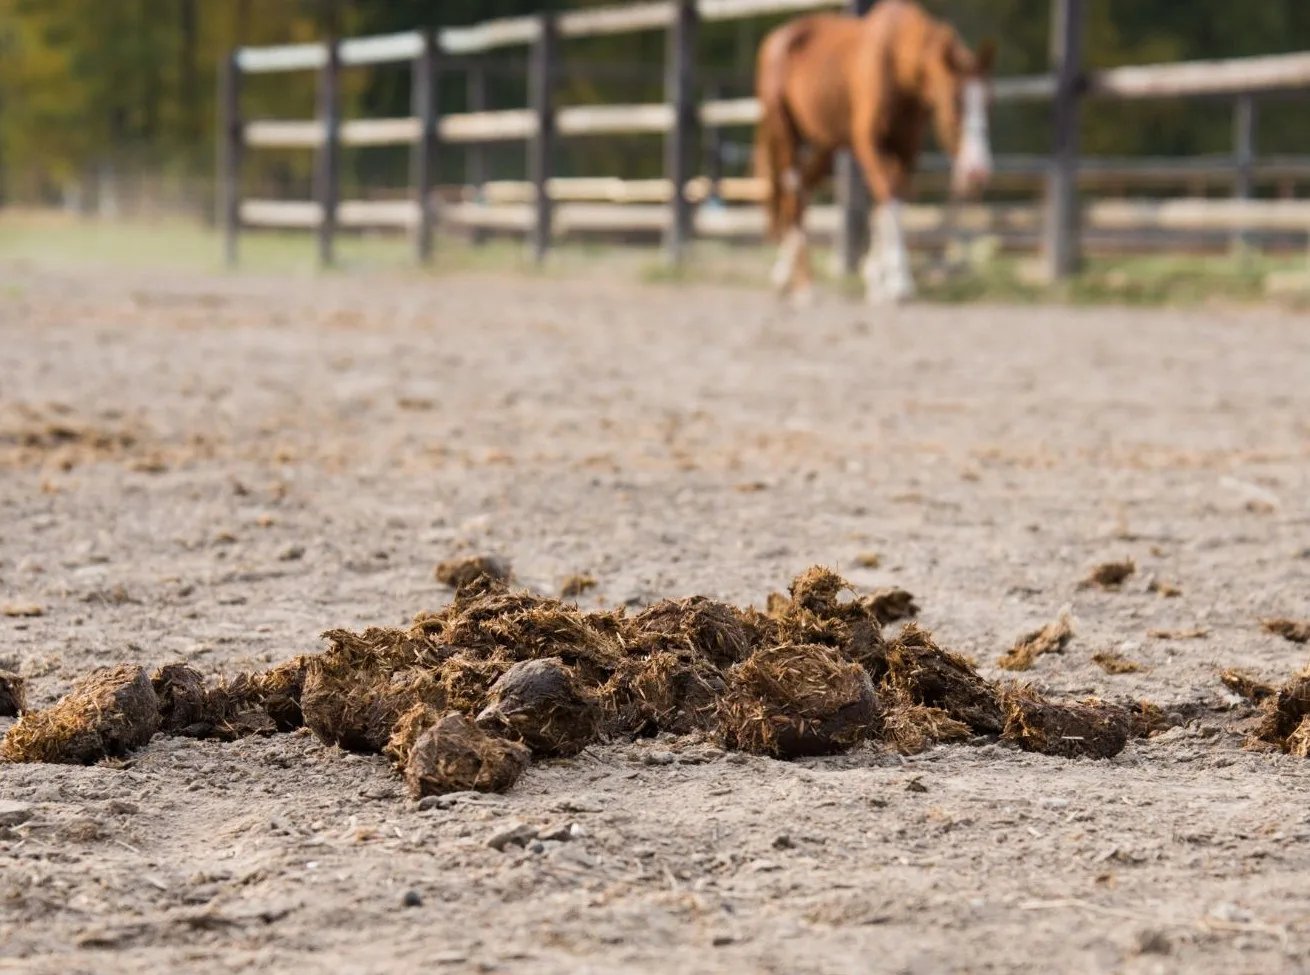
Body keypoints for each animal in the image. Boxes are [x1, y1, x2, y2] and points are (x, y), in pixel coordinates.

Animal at [754, 0, 995, 304]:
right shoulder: (868, 144)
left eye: (988, 104)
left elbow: (891, 204)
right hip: (785, 132)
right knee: (794, 193)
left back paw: (784, 273)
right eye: (954, 106)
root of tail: (776, 39)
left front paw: (877, 278)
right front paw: (899, 283)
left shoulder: (906, 150)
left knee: (800, 193)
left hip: (824, 145)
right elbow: (888, 199)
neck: (898, 67)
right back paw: (805, 285)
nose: (978, 171)